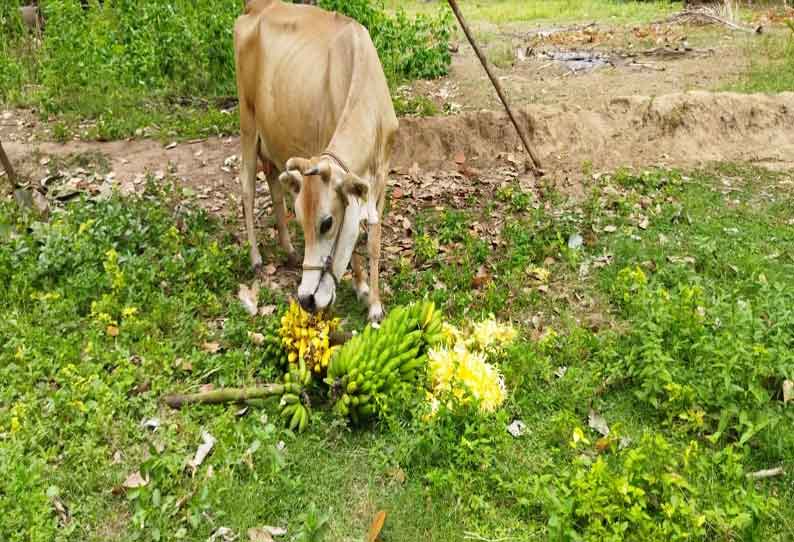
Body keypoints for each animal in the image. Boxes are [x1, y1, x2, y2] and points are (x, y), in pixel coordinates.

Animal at [234, 0, 396, 324]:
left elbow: (372, 239)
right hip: (247, 120)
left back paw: (289, 251)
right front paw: (362, 288)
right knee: (246, 185)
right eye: (302, 220)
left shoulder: (381, 178)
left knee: (273, 183)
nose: (306, 299)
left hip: (270, 136)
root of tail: (257, 6)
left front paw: (373, 303)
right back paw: (256, 259)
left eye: (326, 223)